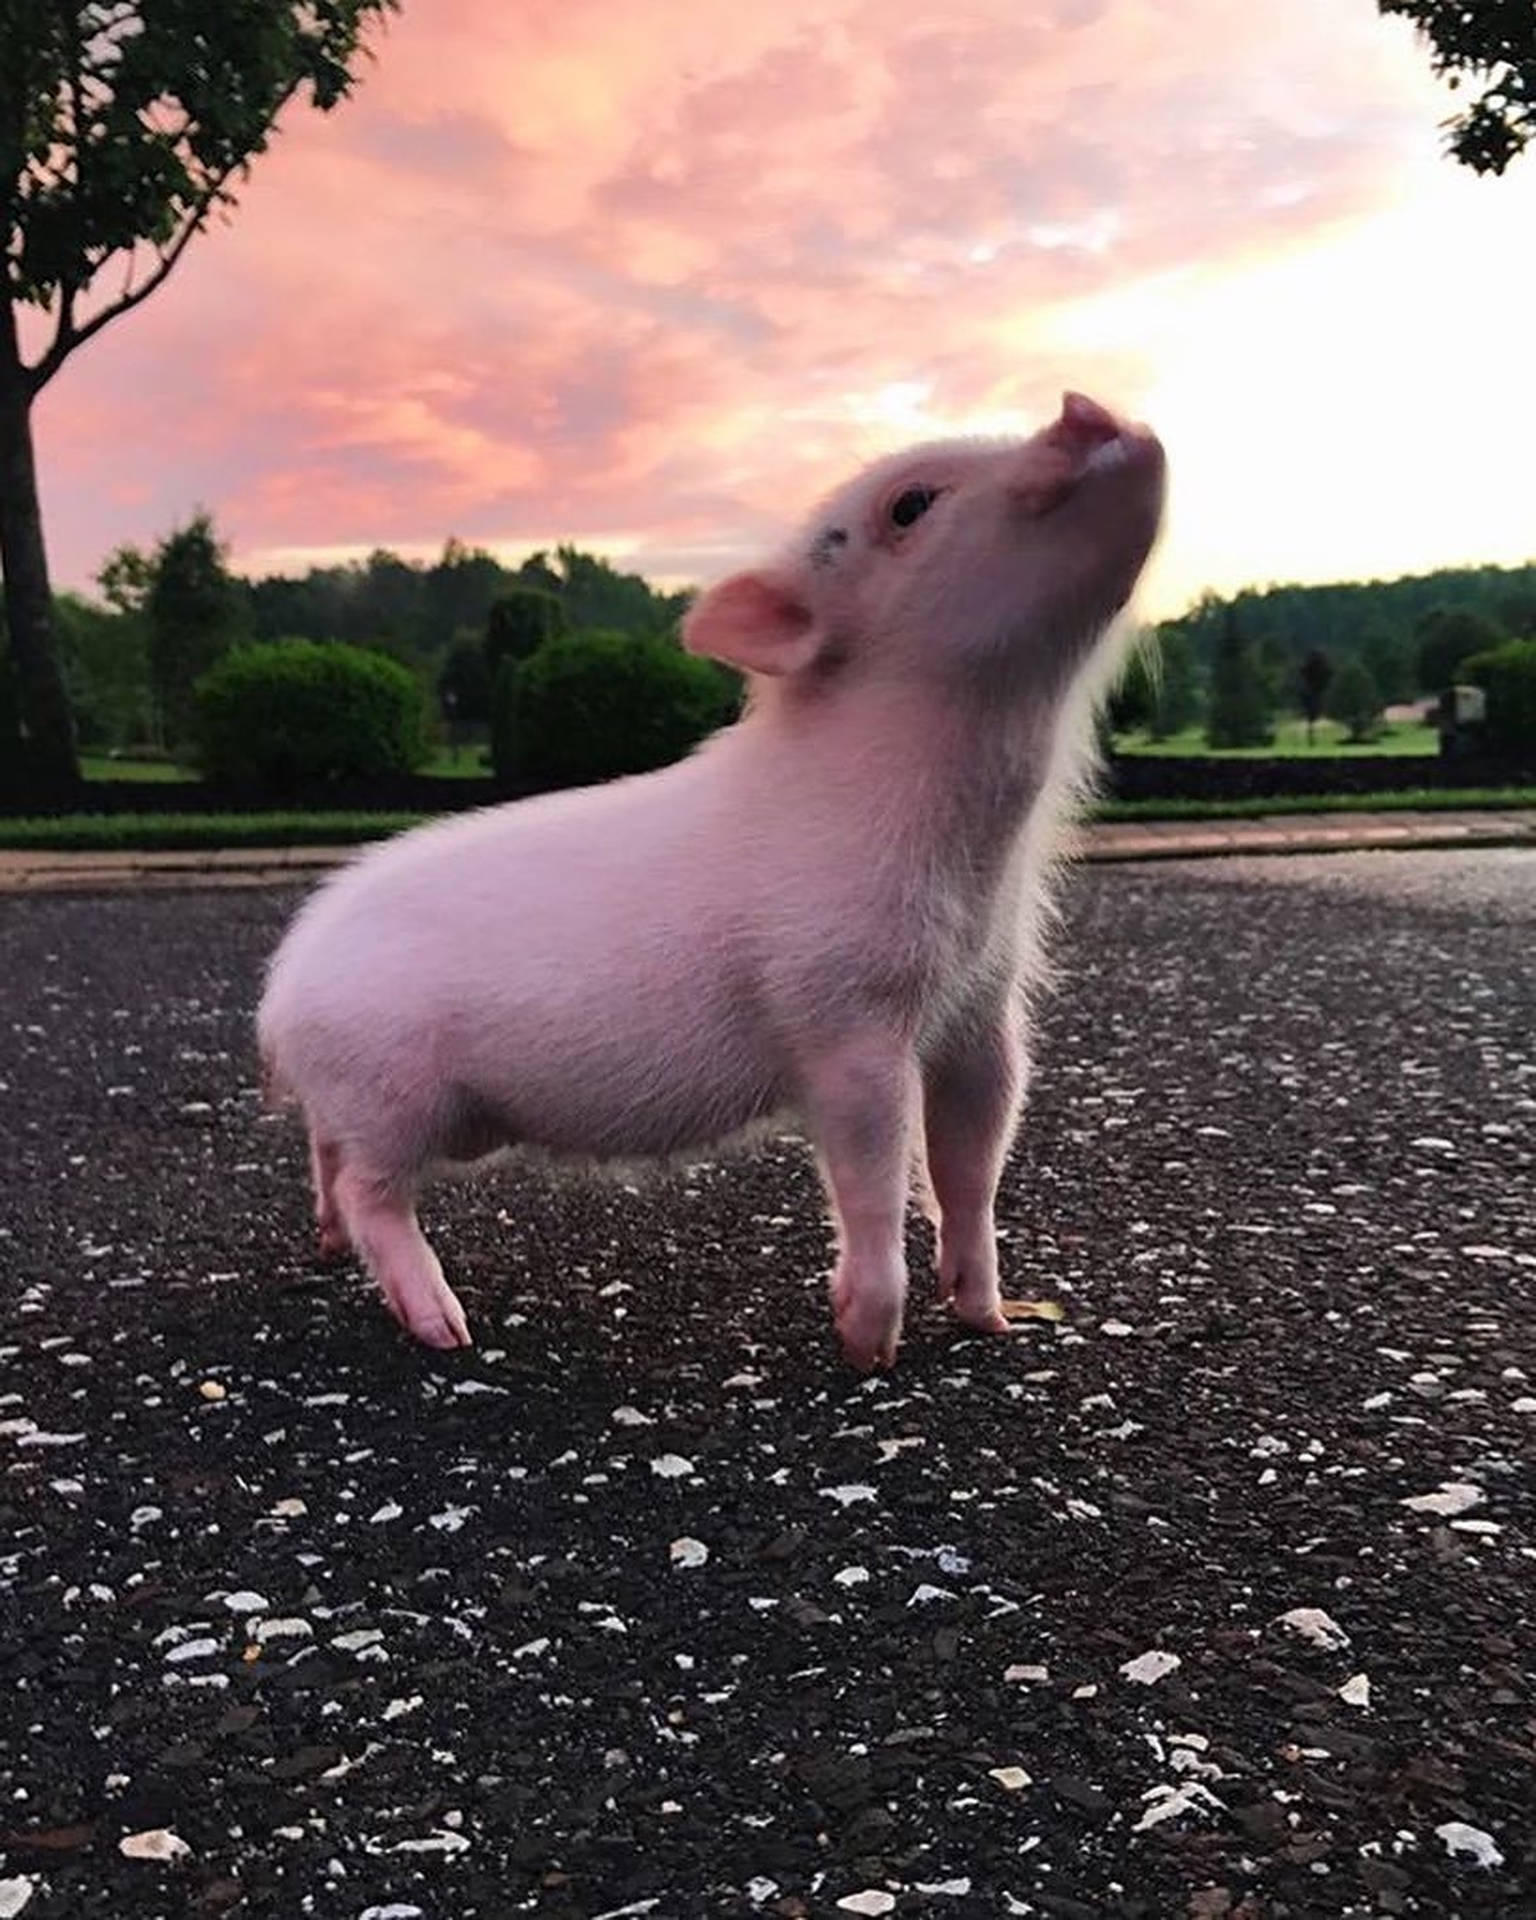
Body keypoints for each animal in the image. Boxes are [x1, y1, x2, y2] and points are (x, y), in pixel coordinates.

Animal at [257, 390, 1165, 1369]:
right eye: (910, 505)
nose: (1089, 407)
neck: (978, 852)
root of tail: (278, 998)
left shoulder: (985, 1003)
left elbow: (977, 1156)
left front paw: (990, 1318)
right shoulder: (838, 1008)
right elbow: (874, 1166)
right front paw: (868, 1349)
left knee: (330, 1158)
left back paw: (330, 1248)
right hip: (393, 1089)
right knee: (374, 1192)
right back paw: (446, 1328)